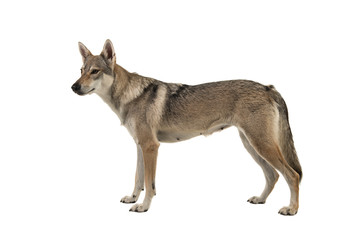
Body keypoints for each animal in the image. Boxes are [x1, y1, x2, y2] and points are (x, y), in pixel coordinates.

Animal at [70, 39, 300, 216]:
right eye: (81, 71)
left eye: (95, 71)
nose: (73, 86)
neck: (129, 96)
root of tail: (268, 88)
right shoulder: (140, 146)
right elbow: (138, 179)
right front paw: (132, 198)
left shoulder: (150, 147)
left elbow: (149, 184)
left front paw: (143, 207)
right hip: (252, 146)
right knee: (273, 175)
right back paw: (260, 199)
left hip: (261, 146)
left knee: (292, 175)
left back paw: (291, 209)